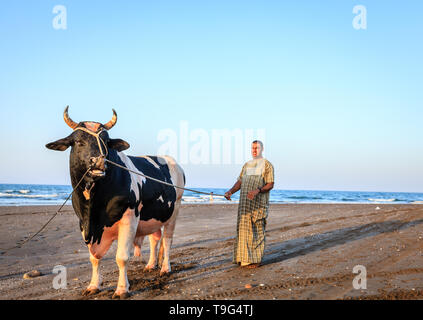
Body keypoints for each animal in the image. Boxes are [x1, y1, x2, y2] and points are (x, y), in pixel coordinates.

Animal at [46, 106, 186, 298]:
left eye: (106, 141)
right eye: (78, 141)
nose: (98, 161)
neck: (93, 209)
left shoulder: (129, 218)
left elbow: (121, 257)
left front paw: (121, 289)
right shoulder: (83, 224)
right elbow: (94, 258)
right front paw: (93, 285)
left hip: (174, 210)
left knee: (167, 240)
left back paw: (165, 268)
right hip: (153, 216)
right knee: (155, 238)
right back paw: (151, 265)